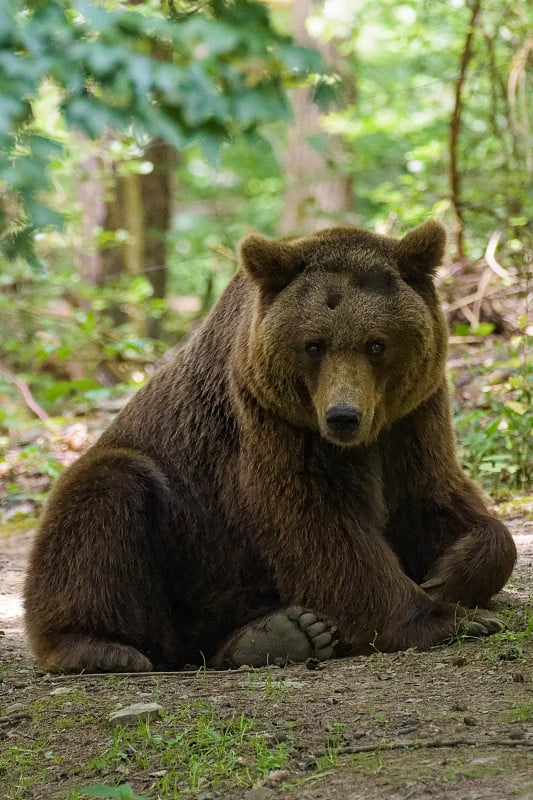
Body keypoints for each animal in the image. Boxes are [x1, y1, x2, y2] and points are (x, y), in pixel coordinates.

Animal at [23, 222, 516, 672]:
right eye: (314, 344)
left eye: (376, 344)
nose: (343, 416)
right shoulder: (271, 423)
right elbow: (320, 528)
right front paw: (449, 618)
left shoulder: (412, 419)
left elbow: (437, 498)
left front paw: (449, 574)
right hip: (177, 530)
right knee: (104, 500)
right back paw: (101, 647)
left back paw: (276, 635)